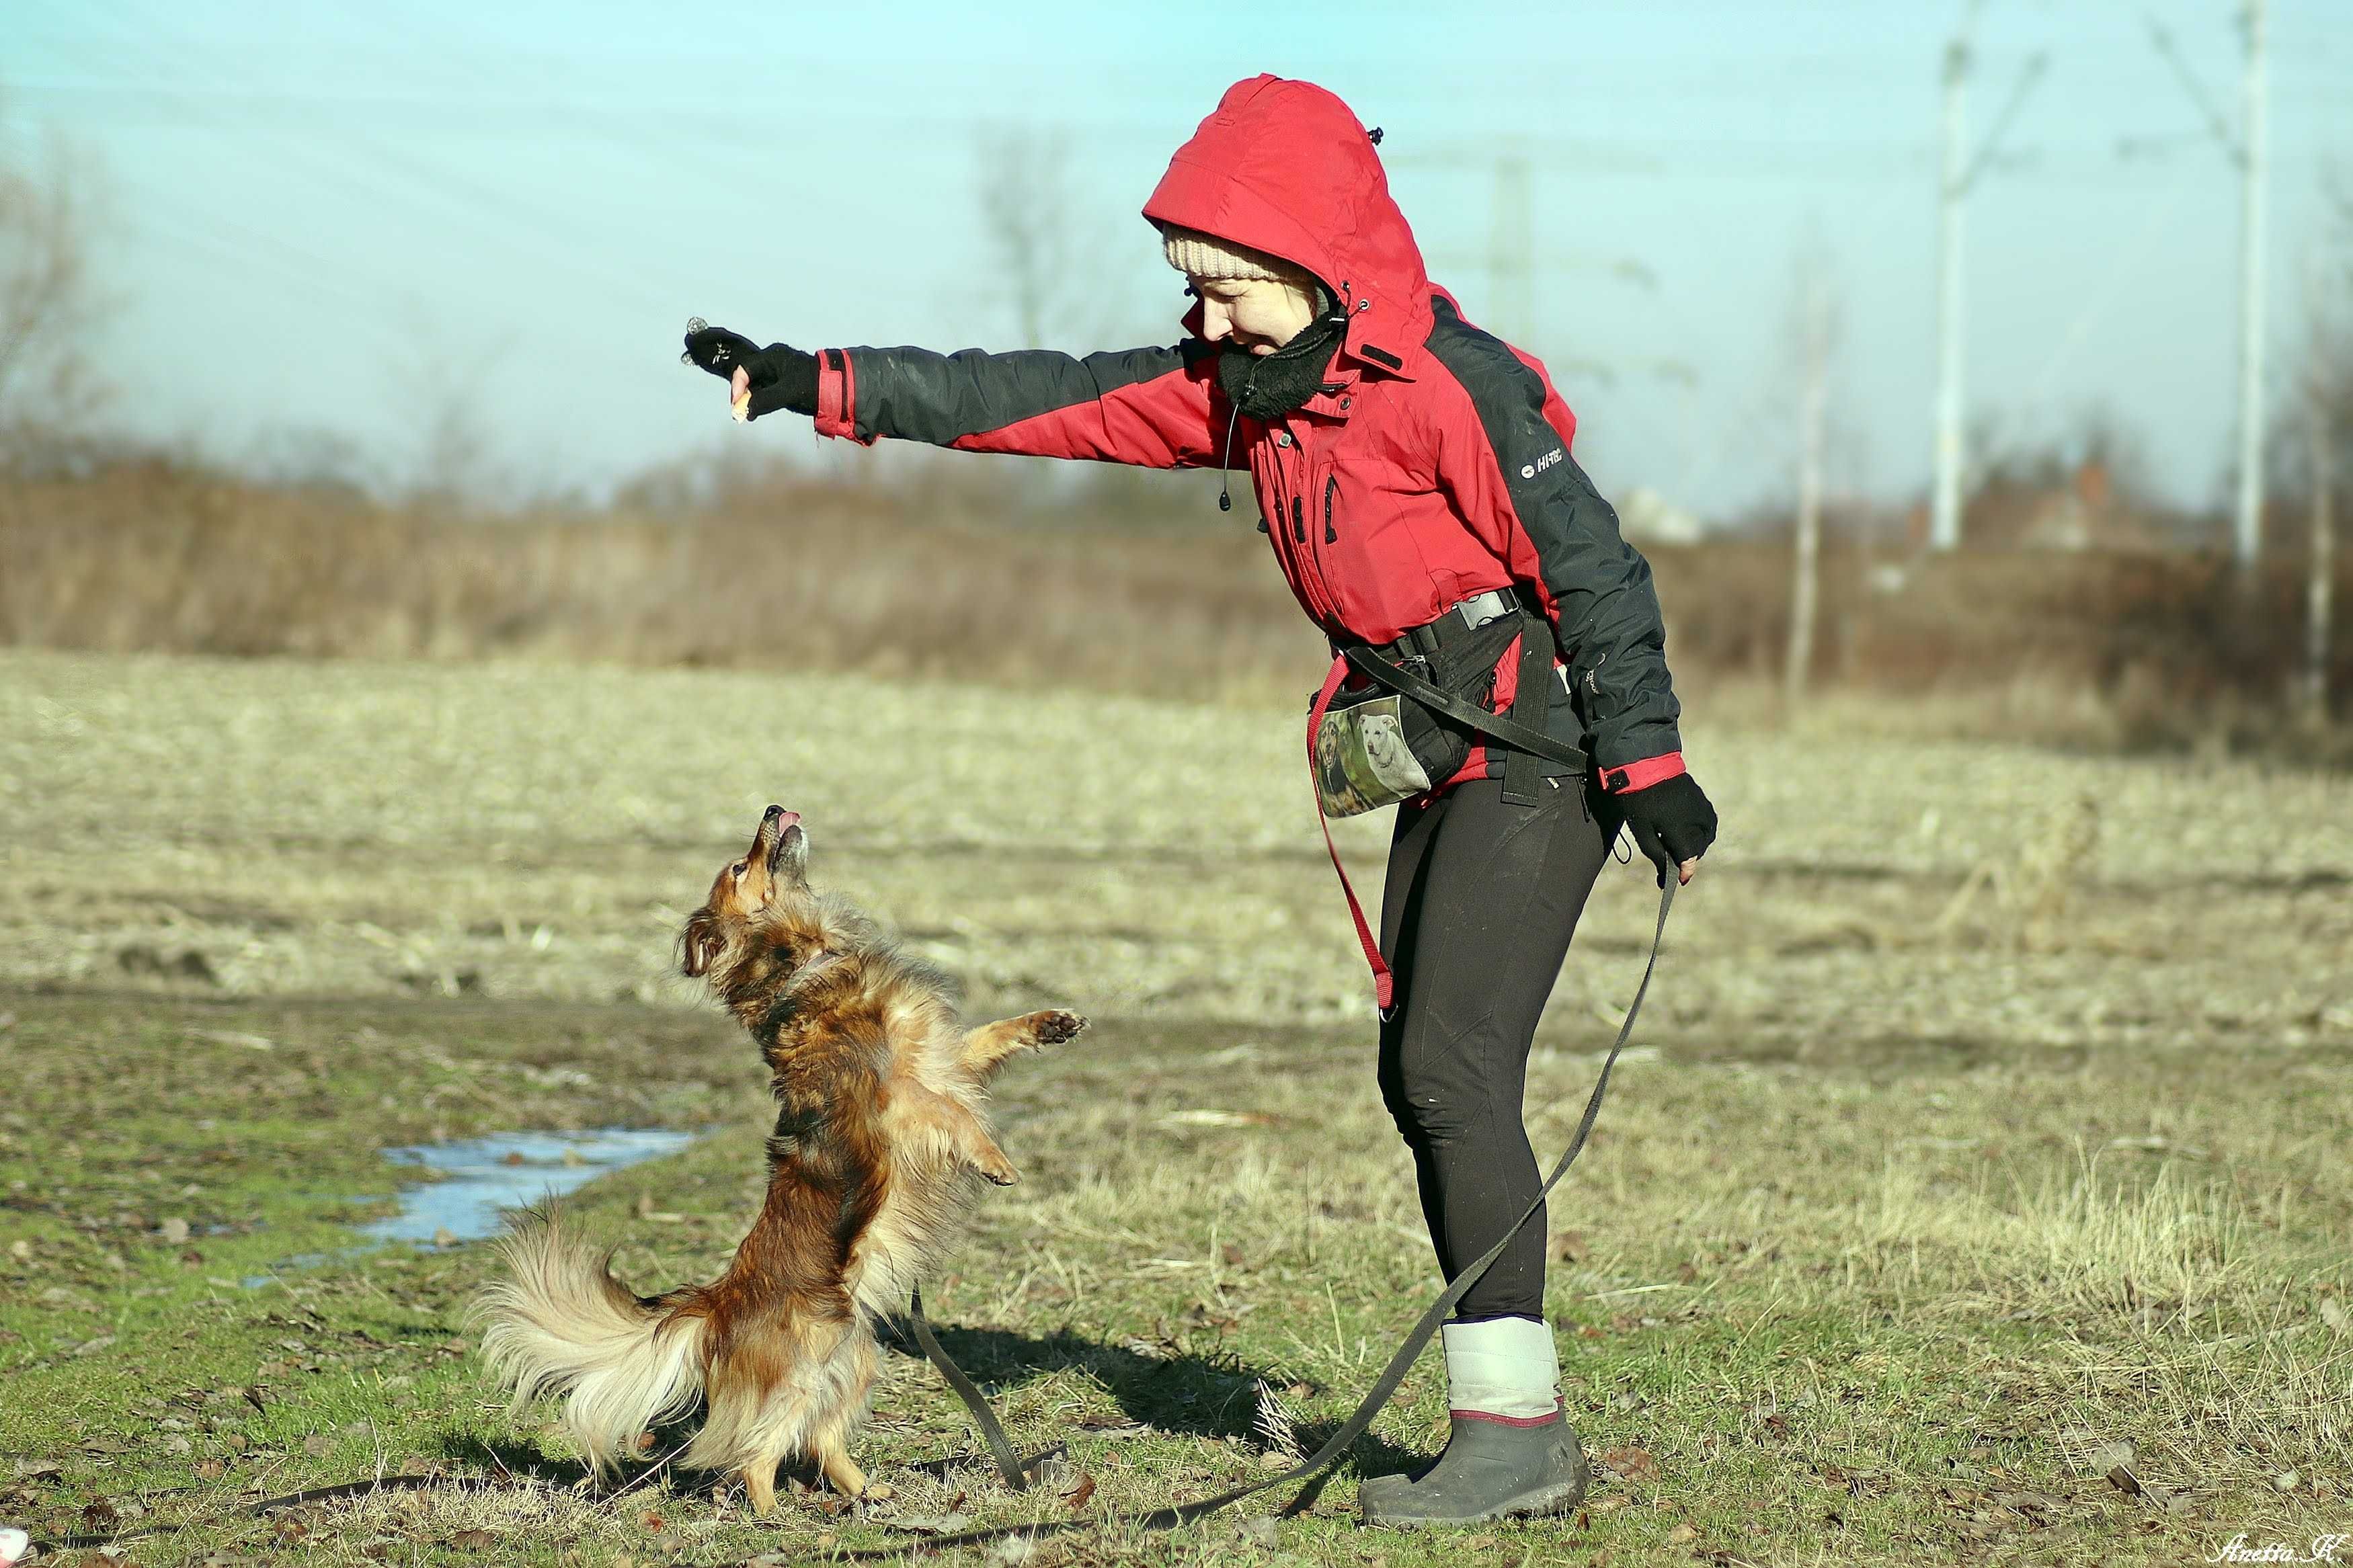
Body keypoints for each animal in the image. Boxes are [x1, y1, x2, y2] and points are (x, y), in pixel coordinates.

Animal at [477, 804, 1082, 1514]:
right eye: (741, 866)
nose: (773, 808)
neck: (810, 955)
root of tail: (717, 1305)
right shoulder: (895, 1093)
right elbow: (953, 1113)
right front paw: (995, 1159)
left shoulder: (942, 1057)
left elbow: (986, 1039)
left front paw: (1048, 1023)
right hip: (795, 1377)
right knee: (753, 1455)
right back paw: (771, 1517)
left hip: (849, 1364)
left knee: (821, 1441)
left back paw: (870, 1497)